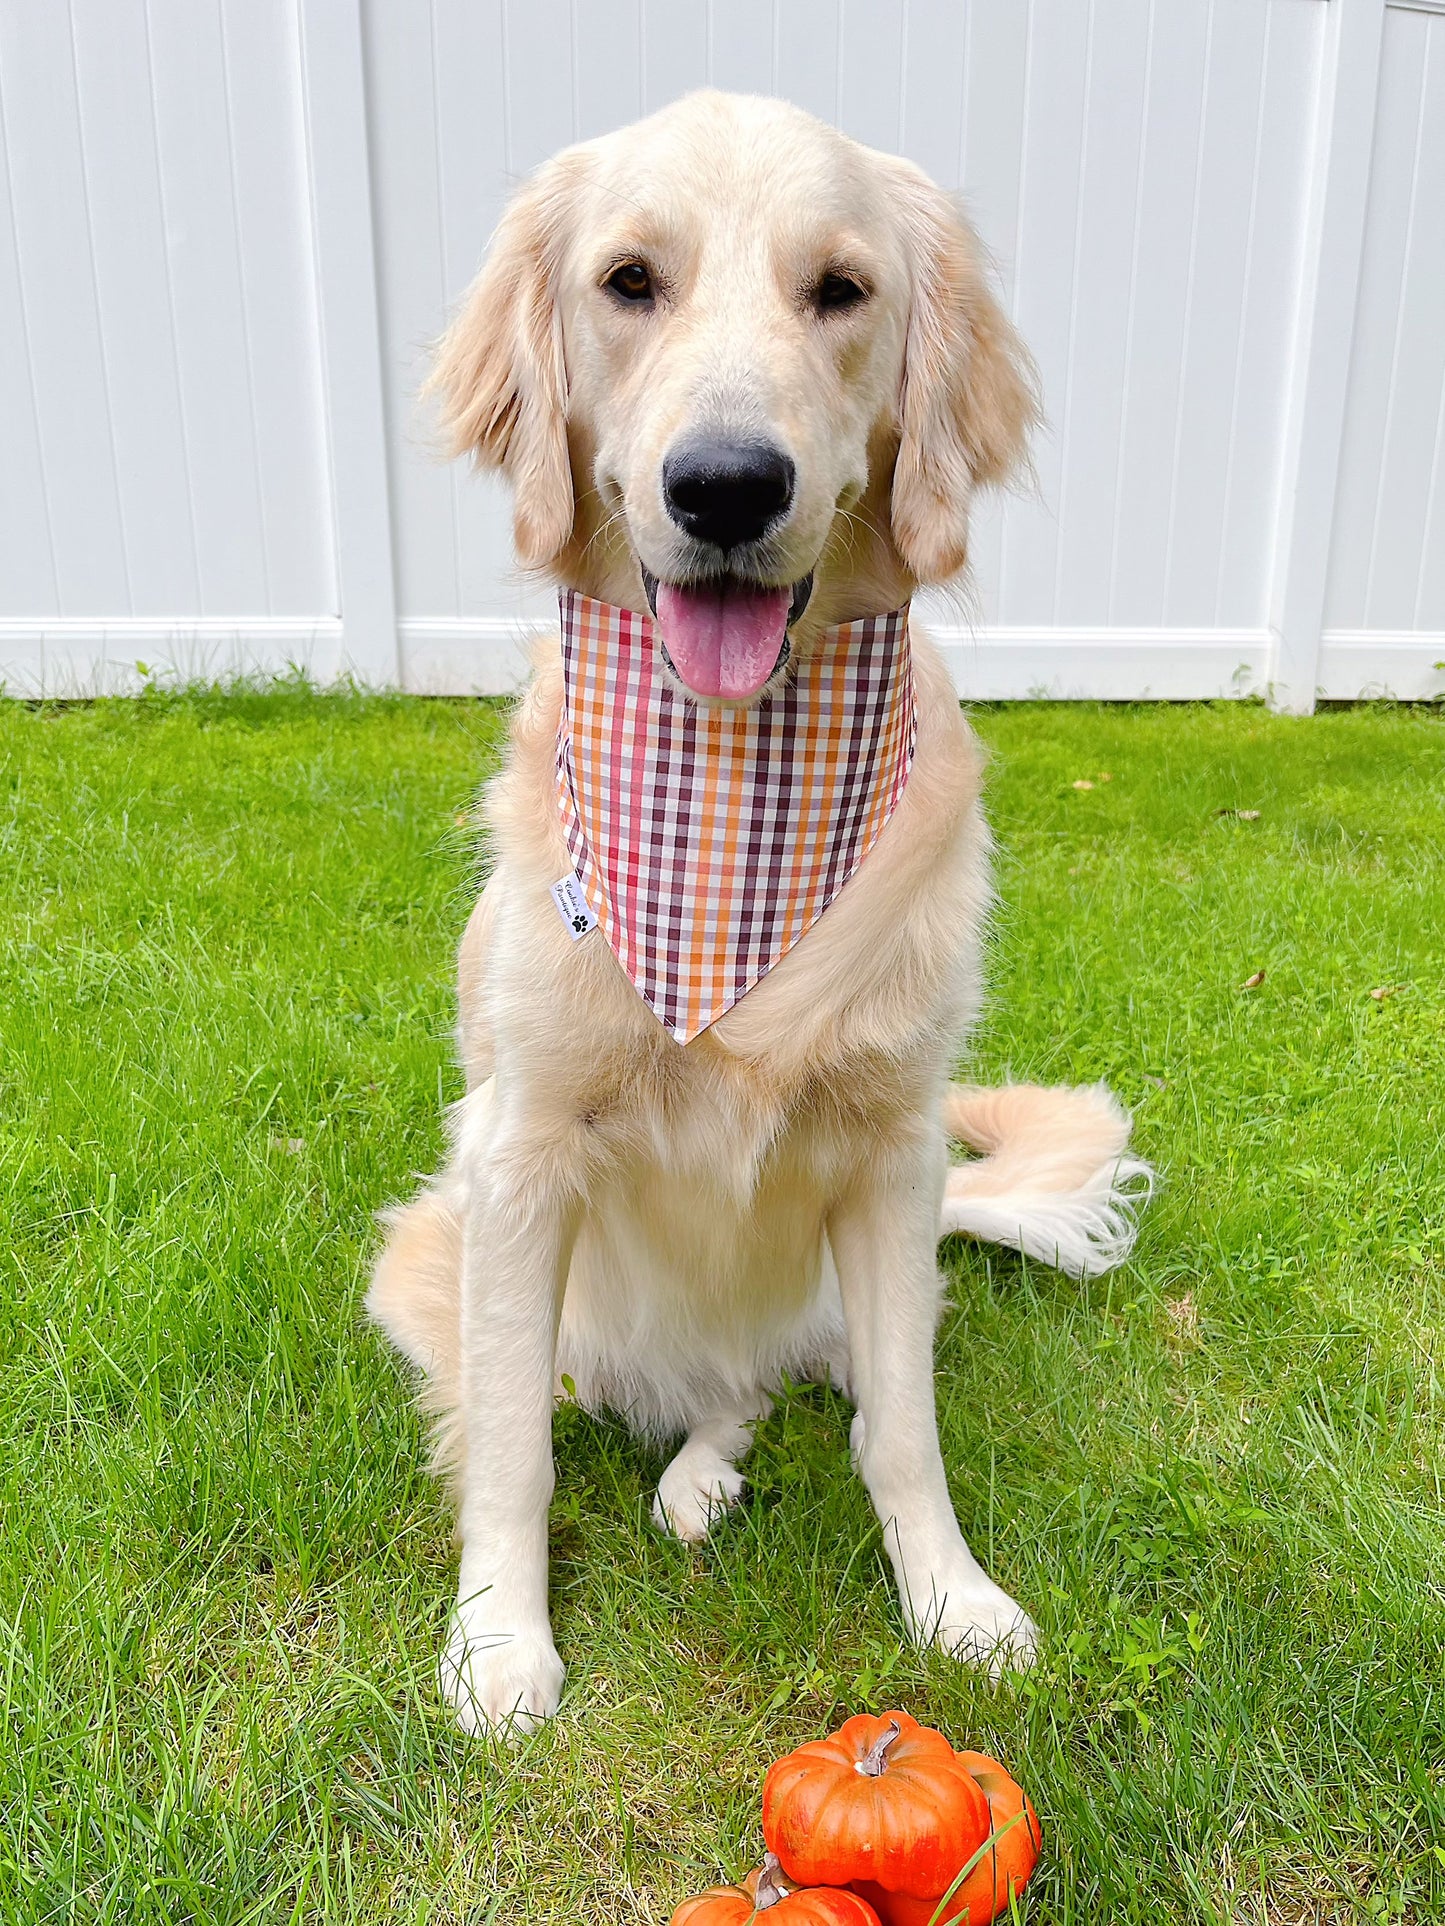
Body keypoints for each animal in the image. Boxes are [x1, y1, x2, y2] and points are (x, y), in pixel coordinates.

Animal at [369, 90, 1156, 1741]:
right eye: (627, 282)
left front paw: (952, 1599)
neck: (731, 800)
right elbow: (511, 1452)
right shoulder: (519, 1153)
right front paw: (498, 1638)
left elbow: (903, 1434)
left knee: (753, 1388)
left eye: (840, 289)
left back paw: (701, 1474)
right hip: (432, 1257)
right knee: (544, 1394)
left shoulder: (893, 1148)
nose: (726, 485)